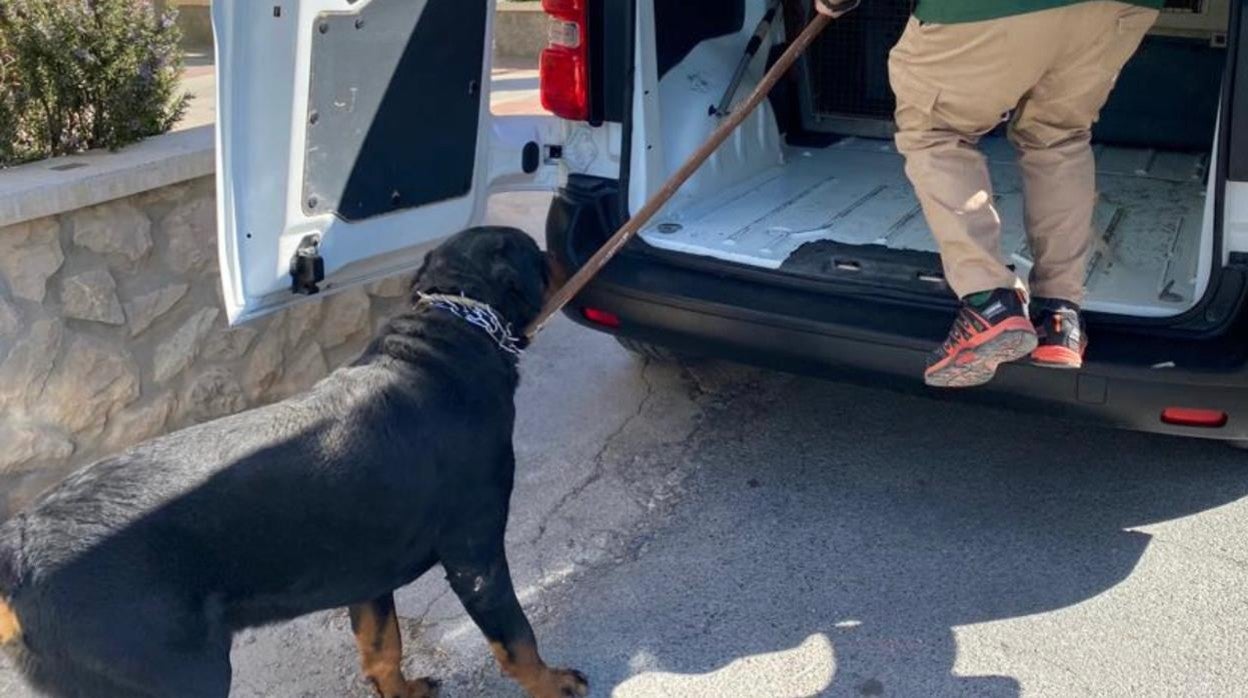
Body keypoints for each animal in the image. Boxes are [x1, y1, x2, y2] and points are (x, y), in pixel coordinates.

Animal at [0, 227, 584, 694]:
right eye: (538, 252)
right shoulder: (476, 553)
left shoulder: (367, 572)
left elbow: (383, 649)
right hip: (181, 670)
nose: (564, 248)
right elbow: (517, 641)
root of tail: (19, 546)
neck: (457, 326)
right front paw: (552, 684)